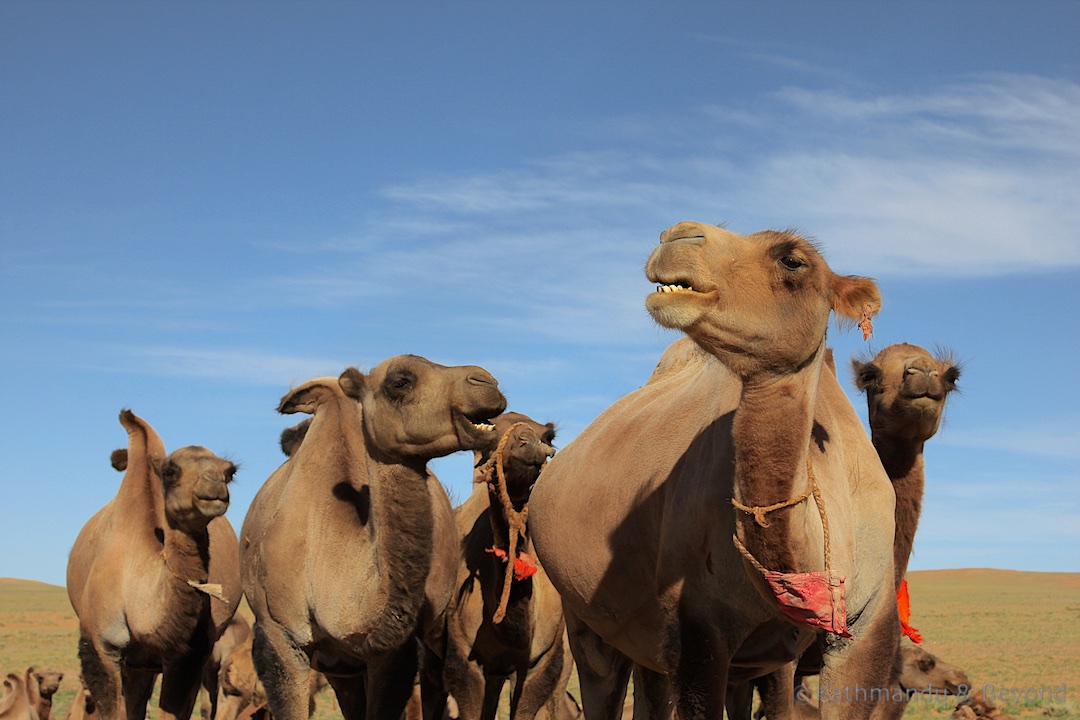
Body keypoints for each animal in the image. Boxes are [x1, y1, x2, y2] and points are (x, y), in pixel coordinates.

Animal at [527, 221, 898, 720]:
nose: (676, 236)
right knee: (601, 676)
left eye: (792, 260)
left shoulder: (869, 626)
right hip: (581, 617)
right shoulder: (697, 628)